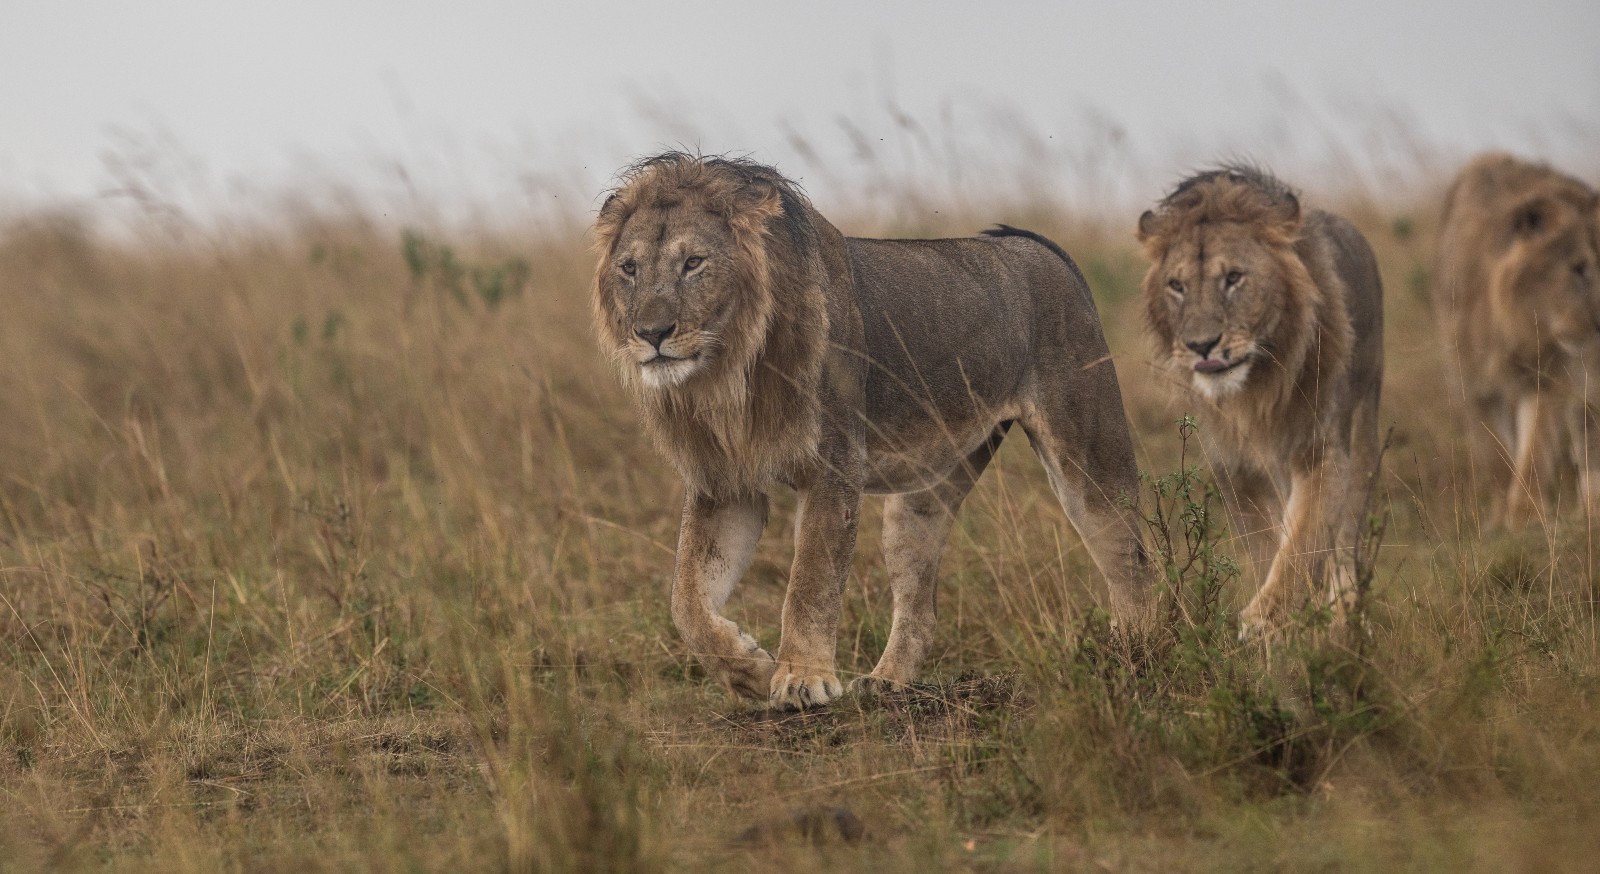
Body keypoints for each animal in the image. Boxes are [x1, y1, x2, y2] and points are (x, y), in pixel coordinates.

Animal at [595, 149, 1145, 707]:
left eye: (693, 263)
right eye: (629, 268)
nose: (651, 333)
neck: (728, 375)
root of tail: (1043, 248)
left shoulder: (834, 466)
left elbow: (810, 581)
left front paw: (803, 679)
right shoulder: (725, 482)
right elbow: (685, 600)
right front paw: (748, 670)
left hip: (1088, 454)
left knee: (1131, 560)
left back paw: (1135, 656)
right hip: (923, 495)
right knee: (921, 608)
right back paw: (886, 685)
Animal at [1132, 164, 1382, 633]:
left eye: (1234, 278)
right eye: (1176, 285)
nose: (1202, 346)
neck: (1255, 392)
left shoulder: (1323, 450)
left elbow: (1304, 537)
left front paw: (1266, 618)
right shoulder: (1235, 468)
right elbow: (1267, 543)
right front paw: (1275, 621)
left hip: (1363, 428)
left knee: (1346, 536)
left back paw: (1344, 615)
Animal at [1427, 152, 1600, 528]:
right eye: (1578, 268)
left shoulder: (1549, 375)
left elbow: (1535, 449)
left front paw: (1526, 516)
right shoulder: (1469, 381)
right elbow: (1494, 454)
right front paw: (1499, 518)